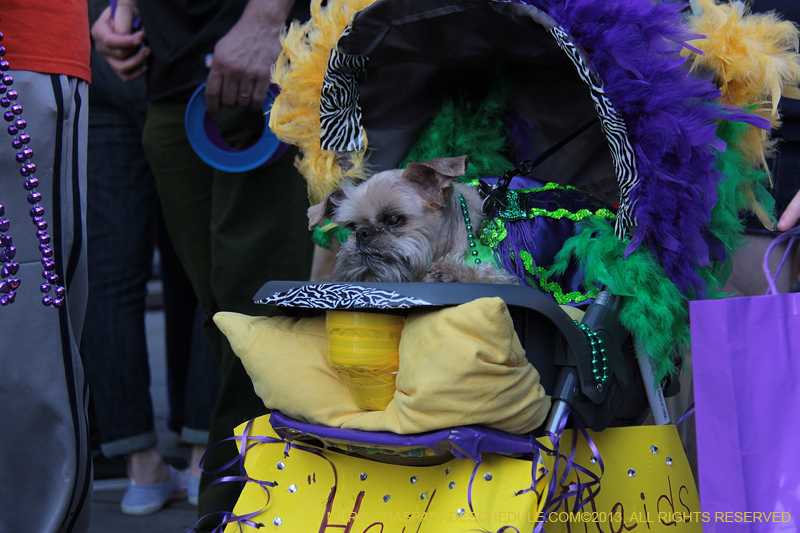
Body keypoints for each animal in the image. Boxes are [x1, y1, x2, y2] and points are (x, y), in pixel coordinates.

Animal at [306, 156, 520, 284]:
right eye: (352, 227)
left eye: (392, 218)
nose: (362, 233)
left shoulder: (509, 279)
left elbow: (487, 275)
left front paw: (452, 271)